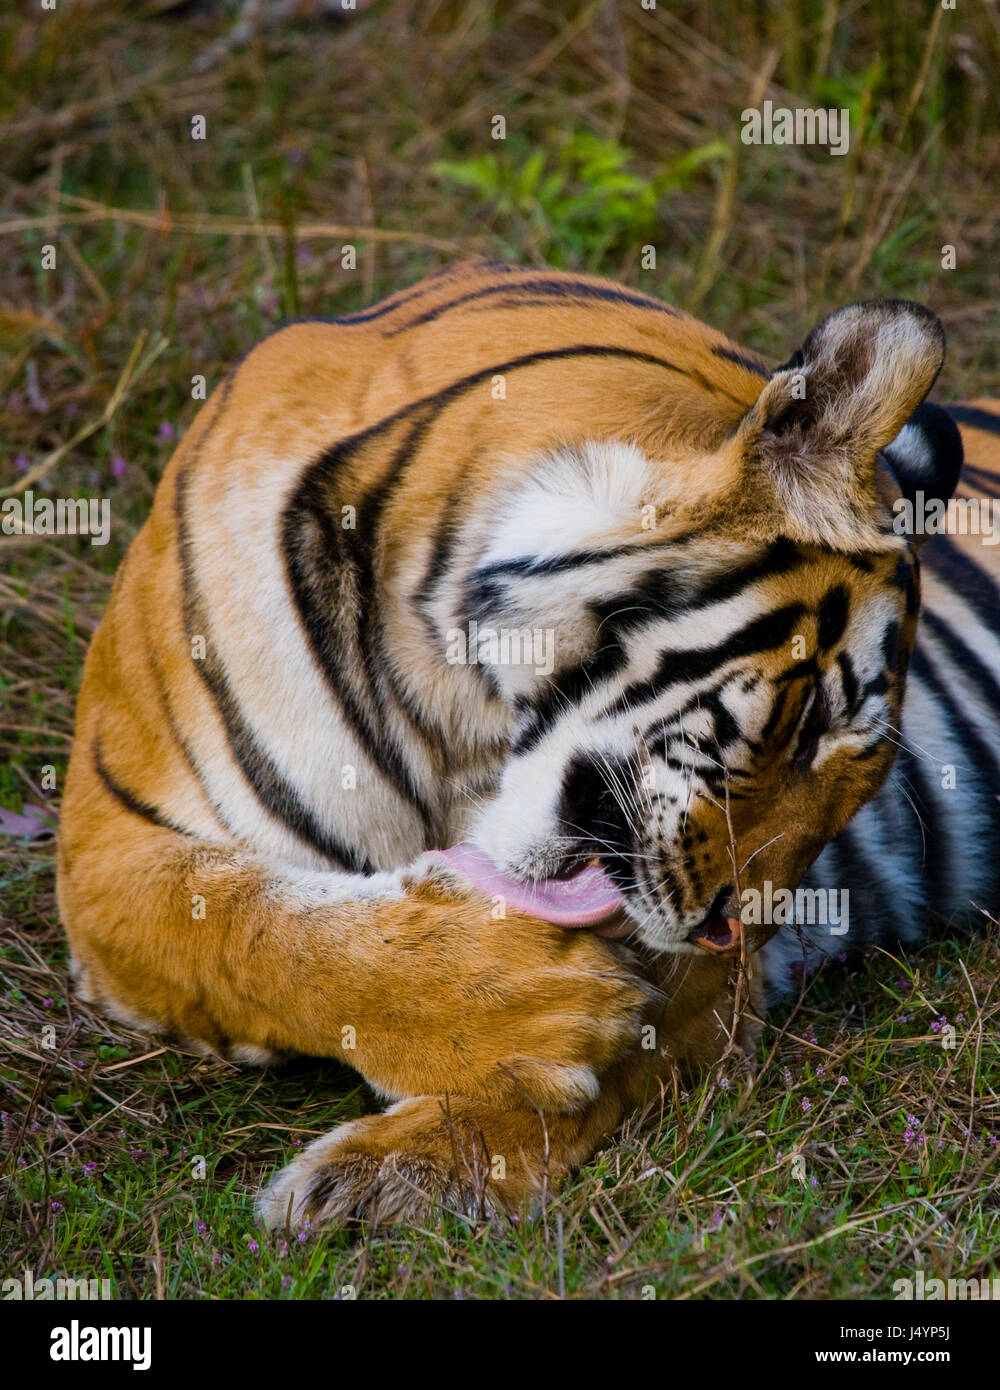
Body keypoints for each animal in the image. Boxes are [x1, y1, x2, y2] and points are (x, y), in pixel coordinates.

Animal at [56, 258, 1000, 1228]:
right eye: (809, 721)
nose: (728, 932)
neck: (455, 712)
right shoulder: (108, 845)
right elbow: (271, 937)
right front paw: (534, 1008)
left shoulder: (707, 991)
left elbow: (622, 1057)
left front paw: (388, 1173)